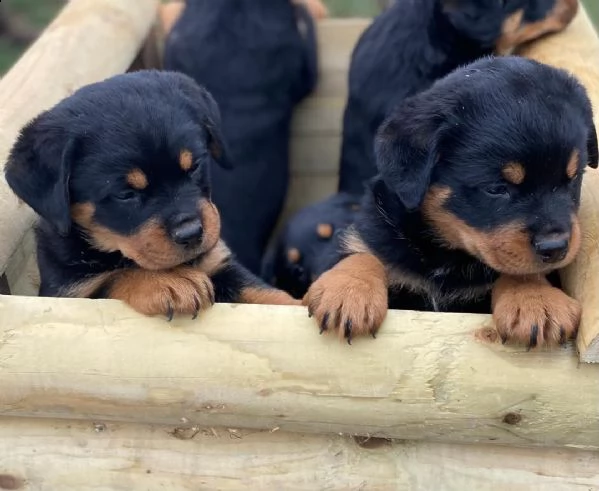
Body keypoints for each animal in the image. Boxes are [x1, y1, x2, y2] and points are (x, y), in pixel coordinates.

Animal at [1, 72, 298, 320]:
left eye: (195, 166)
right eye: (125, 194)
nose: (191, 233)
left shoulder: (218, 262)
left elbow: (264, 293)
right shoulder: (69, 292)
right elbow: (115, 276)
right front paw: (171, 280)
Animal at [304, 57, 599, 348]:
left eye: (573, 178)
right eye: (496, 189)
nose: (555, 247)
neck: (448, 257)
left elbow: (520, 269)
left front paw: (537, 300)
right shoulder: (375, 233)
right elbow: (363, 254)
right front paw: (347, 292)